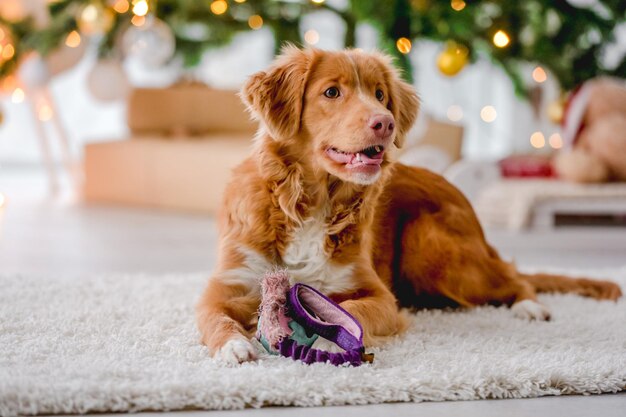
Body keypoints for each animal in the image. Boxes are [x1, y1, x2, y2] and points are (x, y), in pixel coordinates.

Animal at [196, 45, 620, 362]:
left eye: (380, 94)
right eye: (332, 92)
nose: (385, 122)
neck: (310, 203)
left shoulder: (379, 295)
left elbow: (352, 313)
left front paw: (333, 338)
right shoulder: (226, 286)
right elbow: (215, 317)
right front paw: (234, 346)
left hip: (433, 247)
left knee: (514, 277)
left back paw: (529, 306)